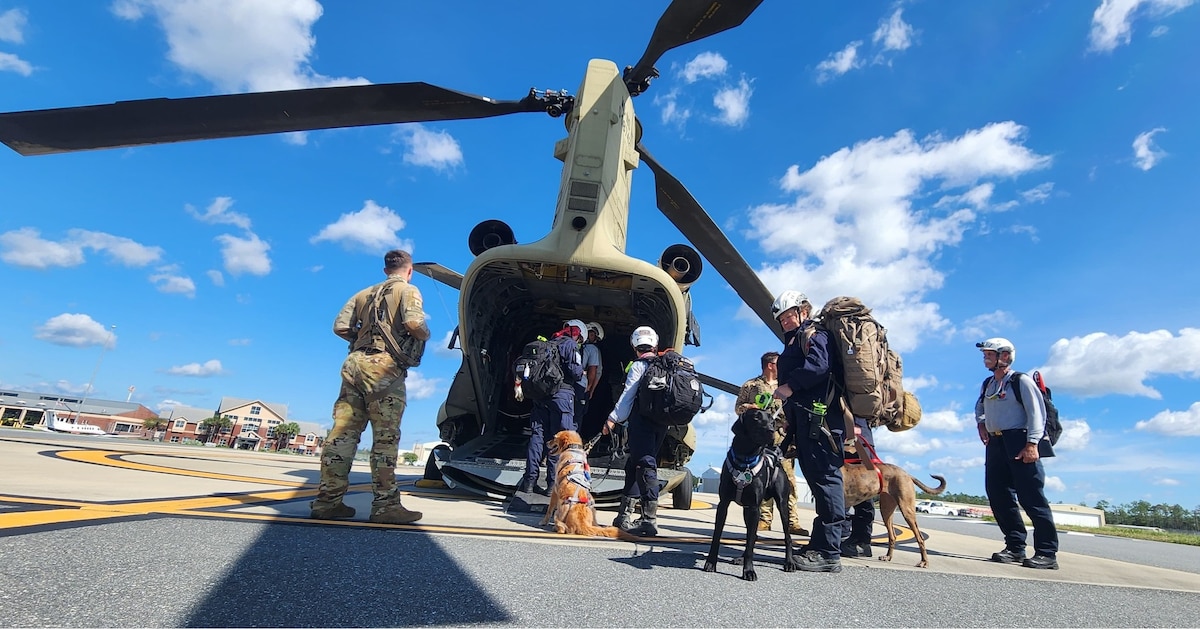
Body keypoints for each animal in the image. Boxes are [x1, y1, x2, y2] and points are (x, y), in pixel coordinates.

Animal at [700, 408, 796, 580]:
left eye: (772, 421)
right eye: (756, 417)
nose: (771, 431)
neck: (745, 459)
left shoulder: (754, 508)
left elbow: (750, 543)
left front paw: (749, 570)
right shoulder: (723, 505)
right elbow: (717, 536)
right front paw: (710, 563)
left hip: (782, 505)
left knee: (787, 537)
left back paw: (789, 562)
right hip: (747, 511)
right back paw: (740, 558)